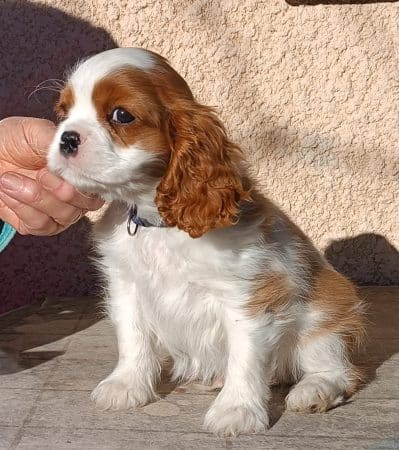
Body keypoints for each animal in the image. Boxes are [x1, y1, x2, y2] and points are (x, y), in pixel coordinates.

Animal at [47, 48, 366, 436]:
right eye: (62, 113)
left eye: (121, 115)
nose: (67, 138)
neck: (160, 225)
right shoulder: (128, 288)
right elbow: (133, 340)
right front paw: (126, 385)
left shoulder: (246, 297)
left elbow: (244, 358)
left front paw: (237, 410)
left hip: (324, 315)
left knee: (337, 370)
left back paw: (313, 391)